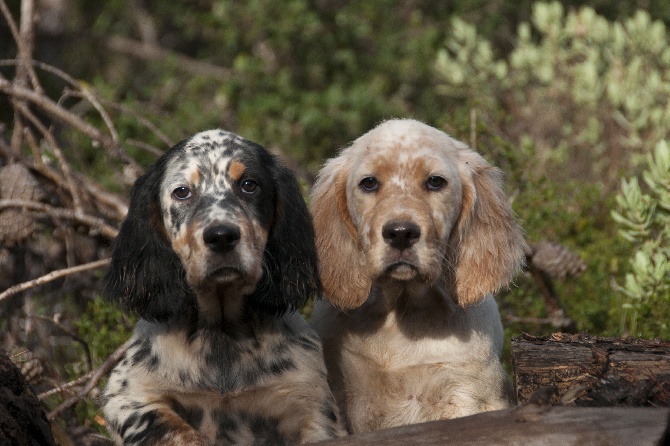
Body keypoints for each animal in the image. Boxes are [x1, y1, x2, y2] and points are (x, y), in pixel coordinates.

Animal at [102, 130, 350, 446]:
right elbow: (171, 427)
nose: (221, 236)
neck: (222, 332)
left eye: (249, 185)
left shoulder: (312, 405)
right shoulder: (127, 394)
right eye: (182, 192)